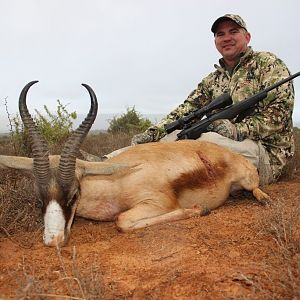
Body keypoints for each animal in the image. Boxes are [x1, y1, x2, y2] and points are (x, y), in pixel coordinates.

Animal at [0, 81, 270, 246]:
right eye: (38, 198)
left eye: (75, 194)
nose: (53, 240)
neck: (115, 181)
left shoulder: (157, 203)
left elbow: (121, 221)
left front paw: (200, 209)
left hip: (248, 179)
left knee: (257, 188)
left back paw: (264, 199)